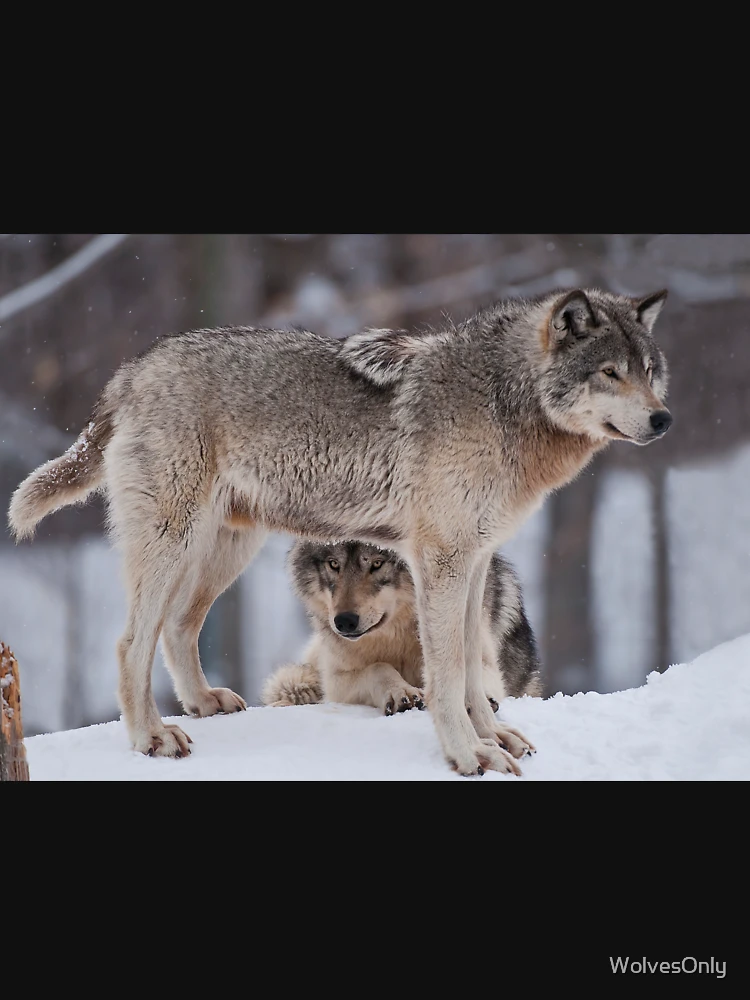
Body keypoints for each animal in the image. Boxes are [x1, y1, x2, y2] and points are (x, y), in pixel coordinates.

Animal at [262, 542, 541, 750]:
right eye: (334, 564)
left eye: (377, 563)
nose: (344, 621)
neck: (397, 635)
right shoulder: (336, 681)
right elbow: (378, 667)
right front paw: (401, 692)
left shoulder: (481, 656)